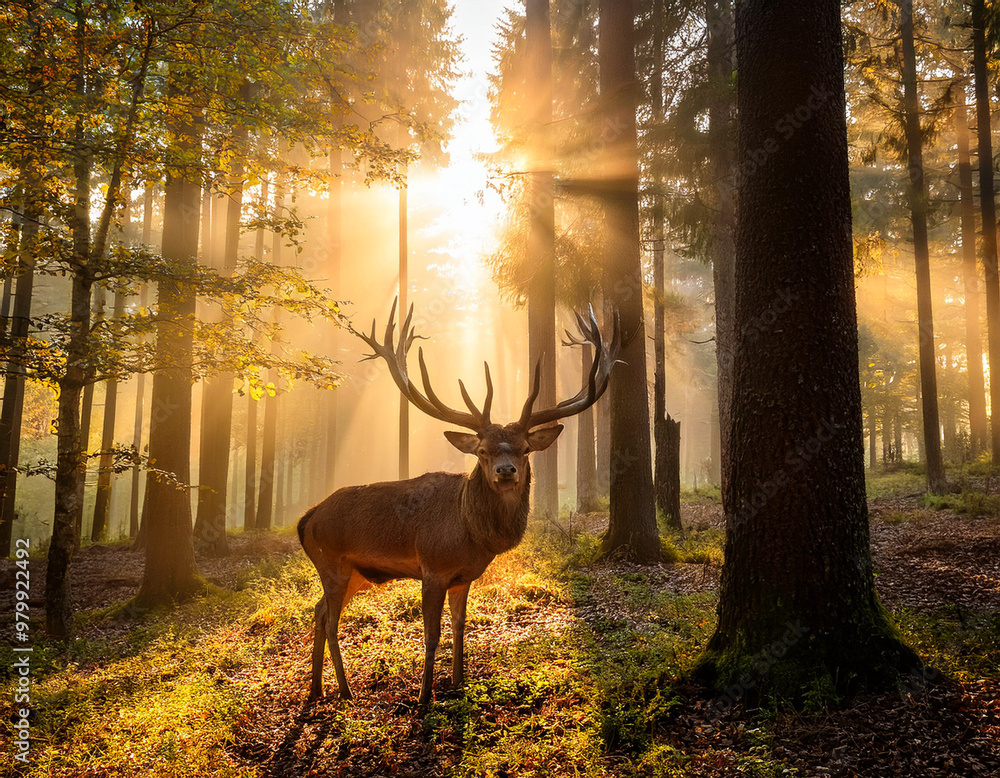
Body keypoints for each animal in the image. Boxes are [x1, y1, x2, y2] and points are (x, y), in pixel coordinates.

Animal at [297, 300, 621, 707]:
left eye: (524, 449)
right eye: (482, 451)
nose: (505, 471)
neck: (472, 534)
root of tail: (306, 519)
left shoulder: (463, 577)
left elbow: (460, 626)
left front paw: (458, 682)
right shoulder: (432, 568)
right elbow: (432, 633)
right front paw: (424, 697)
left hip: (357, 573)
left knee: (318, 610)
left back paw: (316, 687)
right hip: (332, 562)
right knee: (330, 618)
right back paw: (344, 689)